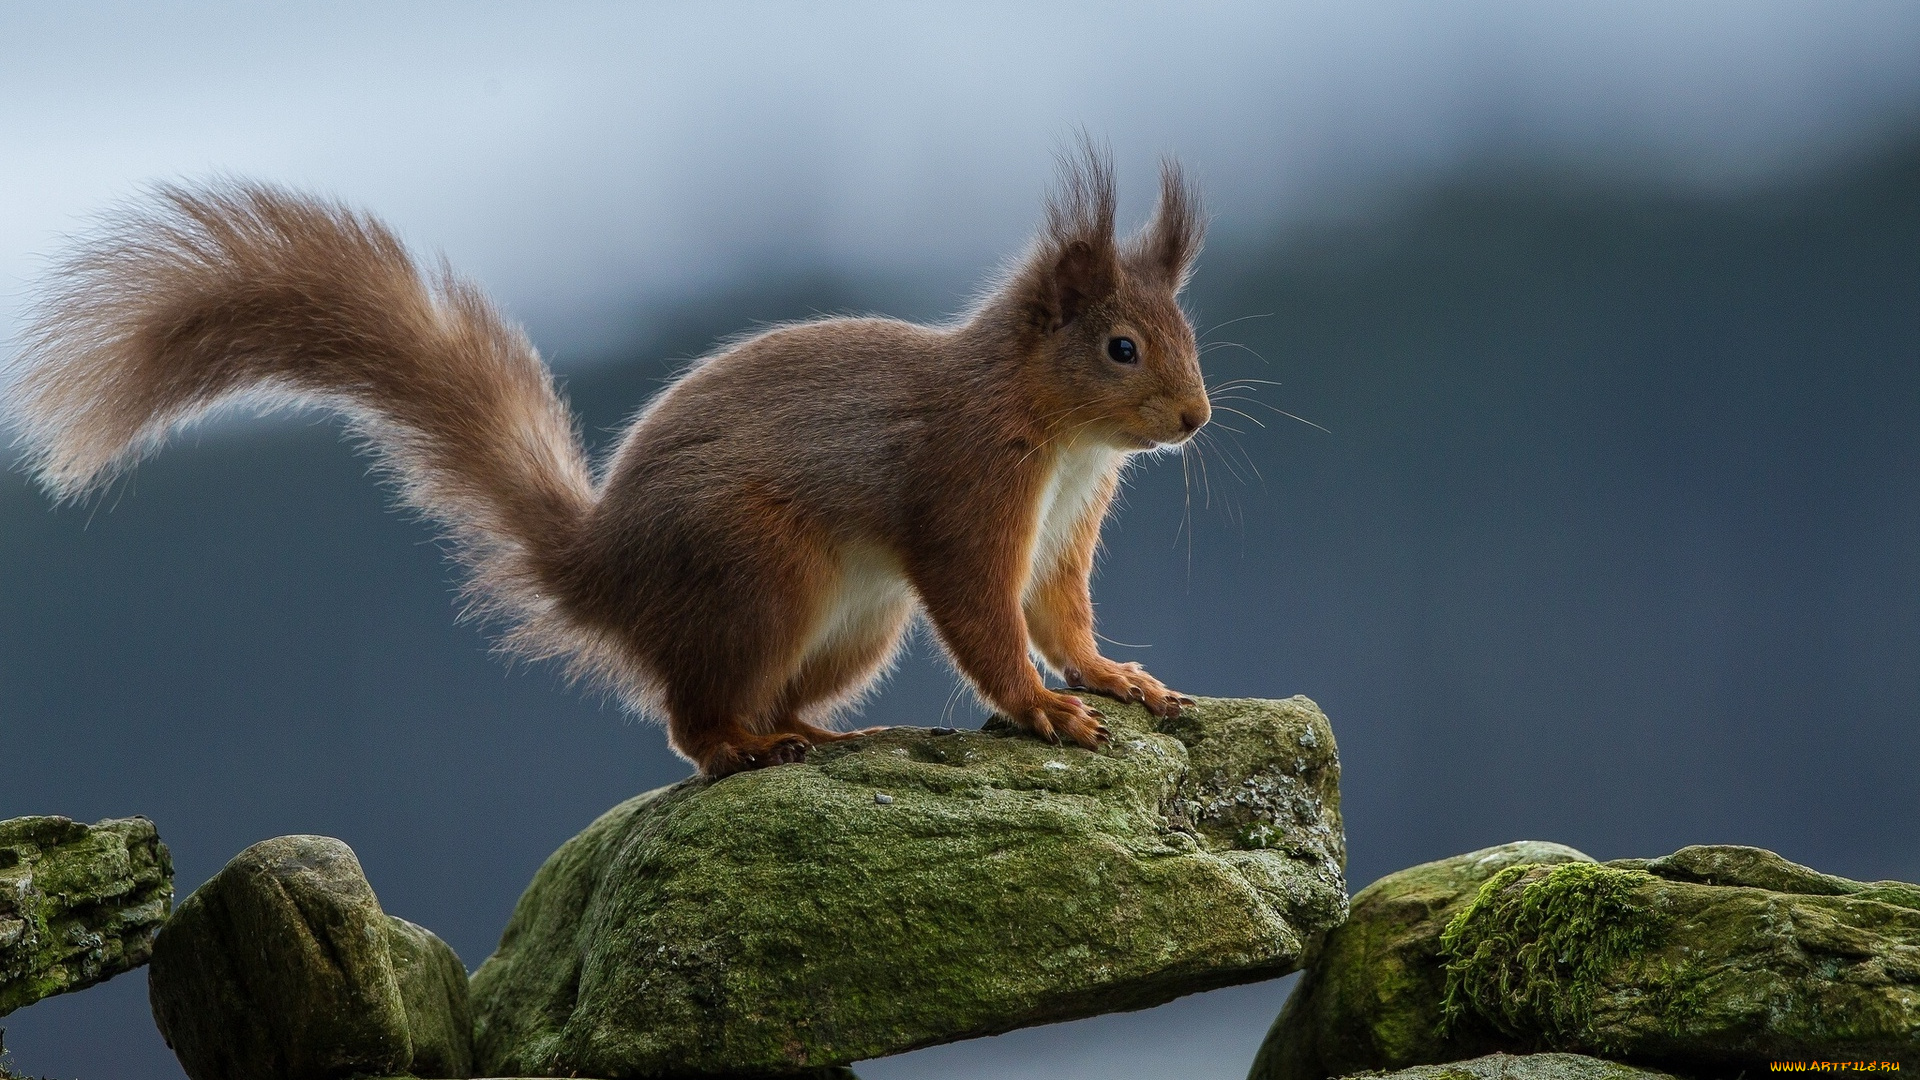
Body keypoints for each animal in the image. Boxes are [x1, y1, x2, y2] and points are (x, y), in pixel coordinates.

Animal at [7, 143, 1213, 772]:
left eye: (1188, 335)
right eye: (1121, 347)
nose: (1195, 417)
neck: (1058, 436)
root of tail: (603, 575)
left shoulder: (1064, 525)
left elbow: (1058, 613)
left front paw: (1112, 677)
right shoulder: (966, 487)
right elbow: (983, 615)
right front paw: (1042, 709)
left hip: (854, 625)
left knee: (758, 698)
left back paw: (807, 730)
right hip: (763, 575)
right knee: (691, 721)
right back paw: (742, 749)